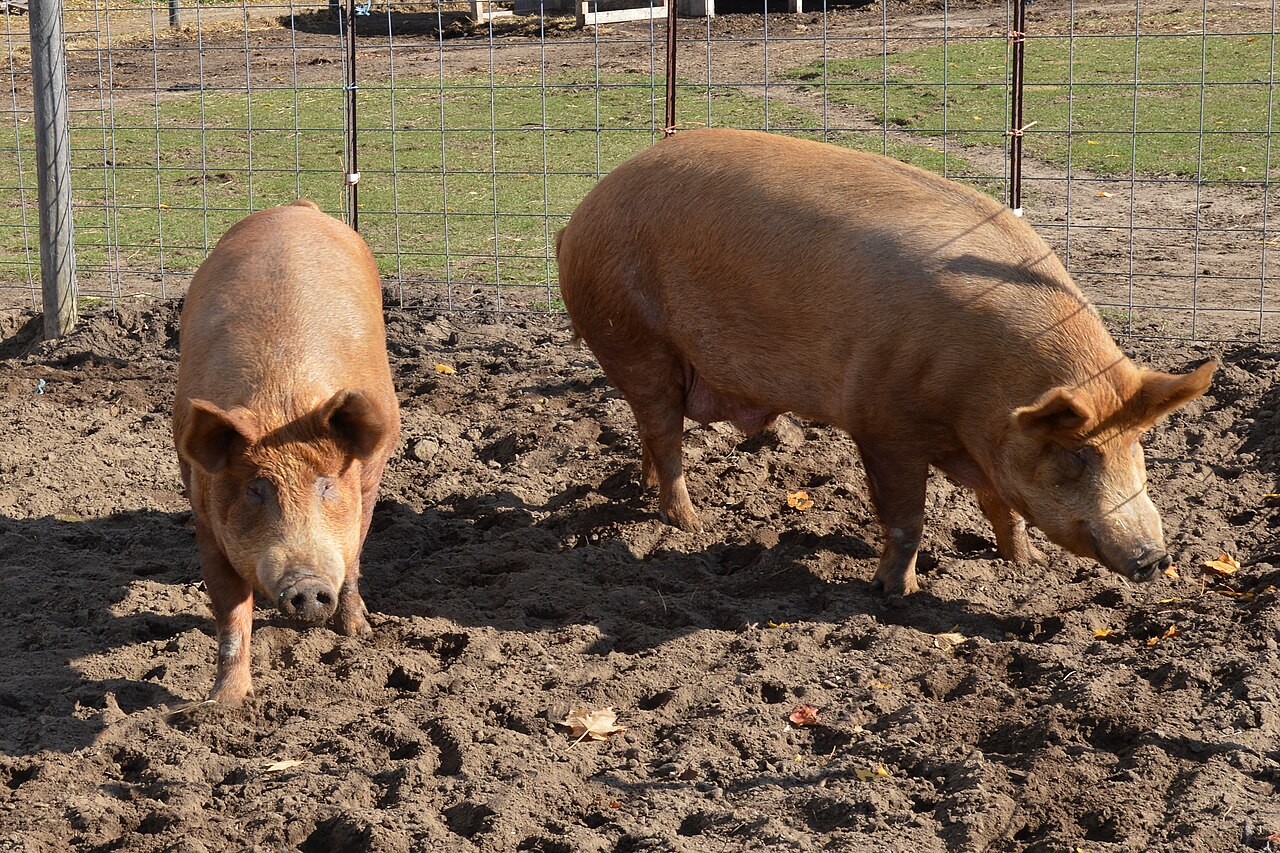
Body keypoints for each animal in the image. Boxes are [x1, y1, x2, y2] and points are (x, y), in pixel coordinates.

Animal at [173, 199, 401, 703]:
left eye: (327, 485)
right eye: (256, 489)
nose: (308, 585)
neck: (282, 405)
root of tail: (296, 207)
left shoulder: (360, 491)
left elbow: (352, 559)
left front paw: (358, 635)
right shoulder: (204, 511)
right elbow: (230, 610)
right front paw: (225, 704)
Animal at [556, 129, 1215, 596]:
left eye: (1137, 446)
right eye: (1078, 456)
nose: (1155, 557)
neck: (981, 396)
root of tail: (581, 213)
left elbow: (1001, 503)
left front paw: (1024, 564)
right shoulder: (881, 421)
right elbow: (906, 518)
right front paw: (896, 594)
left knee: (649, 430)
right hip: (634, 336)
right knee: (664, 432)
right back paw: (690, 526)